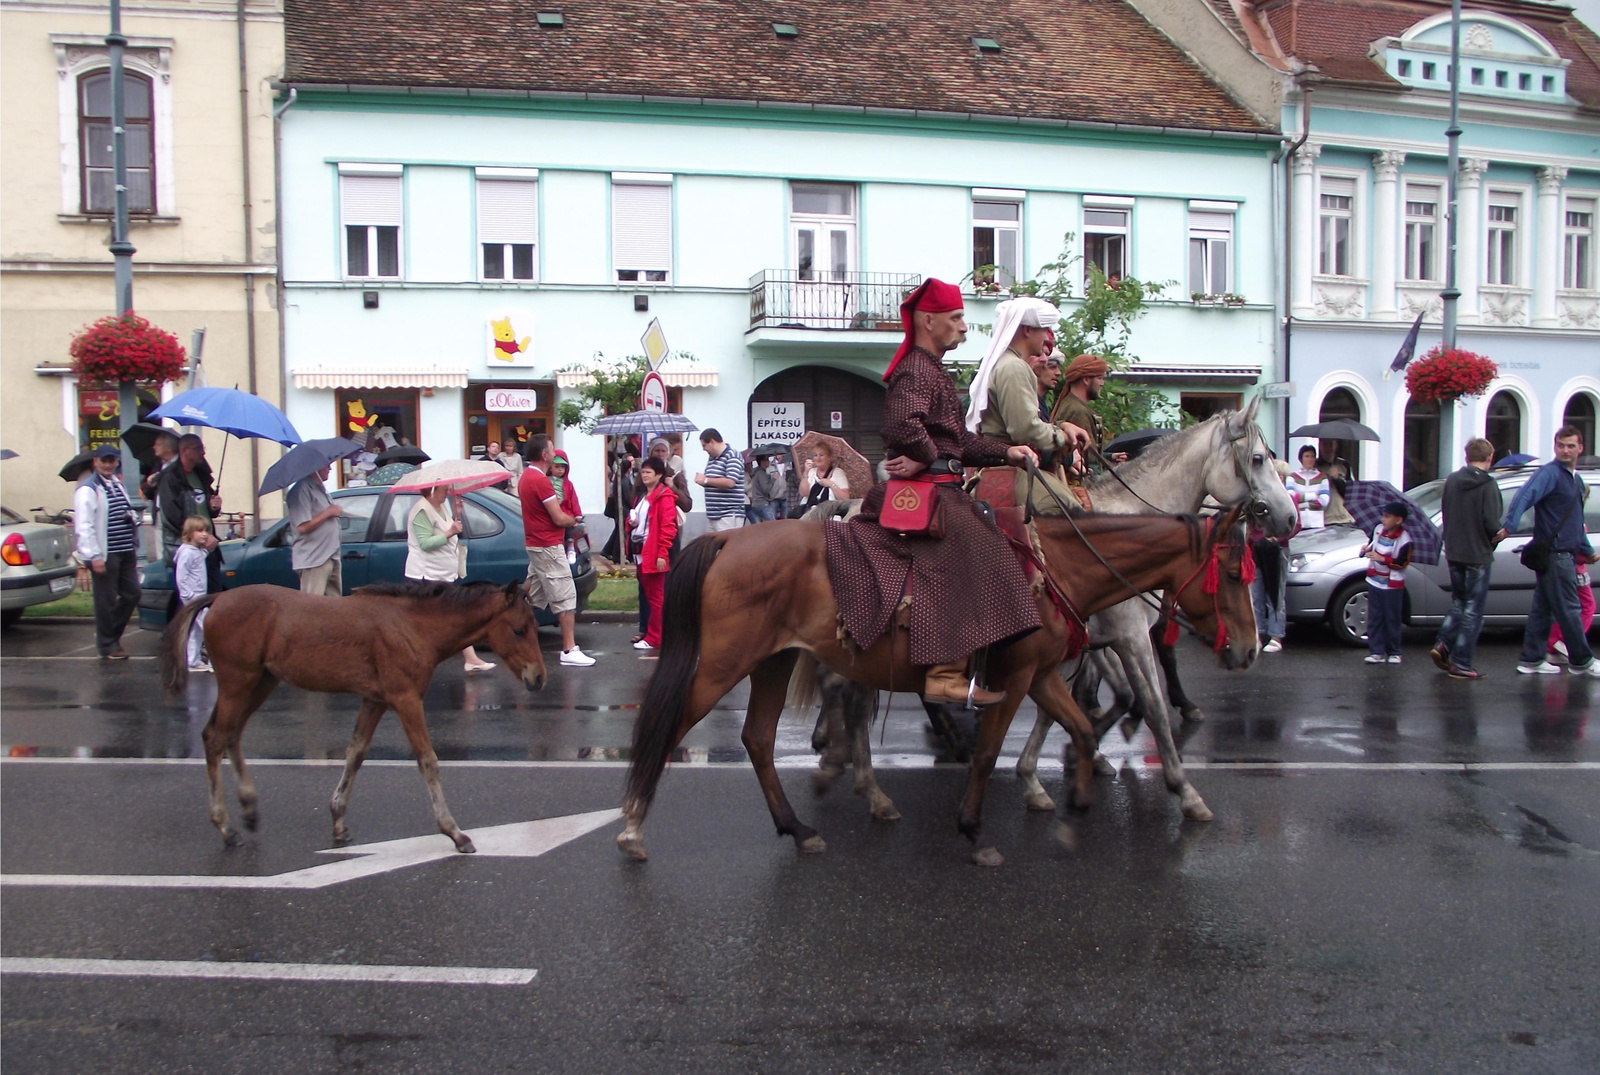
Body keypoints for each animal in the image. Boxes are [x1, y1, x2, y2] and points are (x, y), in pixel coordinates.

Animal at [161, 582, 547, 851]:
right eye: (518, 629)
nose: (539, 677)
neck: (414, 626)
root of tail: (217, 598)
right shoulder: (405, 698)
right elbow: (428, 761)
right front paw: (455, 833)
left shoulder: (374, 700)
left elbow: (356, 753)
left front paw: (337, 821)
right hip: (237, 681)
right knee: (215, 738)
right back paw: (226, 828)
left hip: (260, 681)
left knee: (230, 734)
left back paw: (250, 810)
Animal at [617, 505, 1254, 863]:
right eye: (1230, 572)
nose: (1247, 649)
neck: (1052, 569)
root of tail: (727, 539)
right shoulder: (1013, 678)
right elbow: (989, 753)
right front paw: (975, 832)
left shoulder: (1043, 675)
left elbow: (1079, 730)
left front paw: (1073, 810)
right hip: (724, 663)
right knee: (669, 726)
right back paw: (631, 828)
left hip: (772, 661)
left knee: (759, 739)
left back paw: (799, 827)